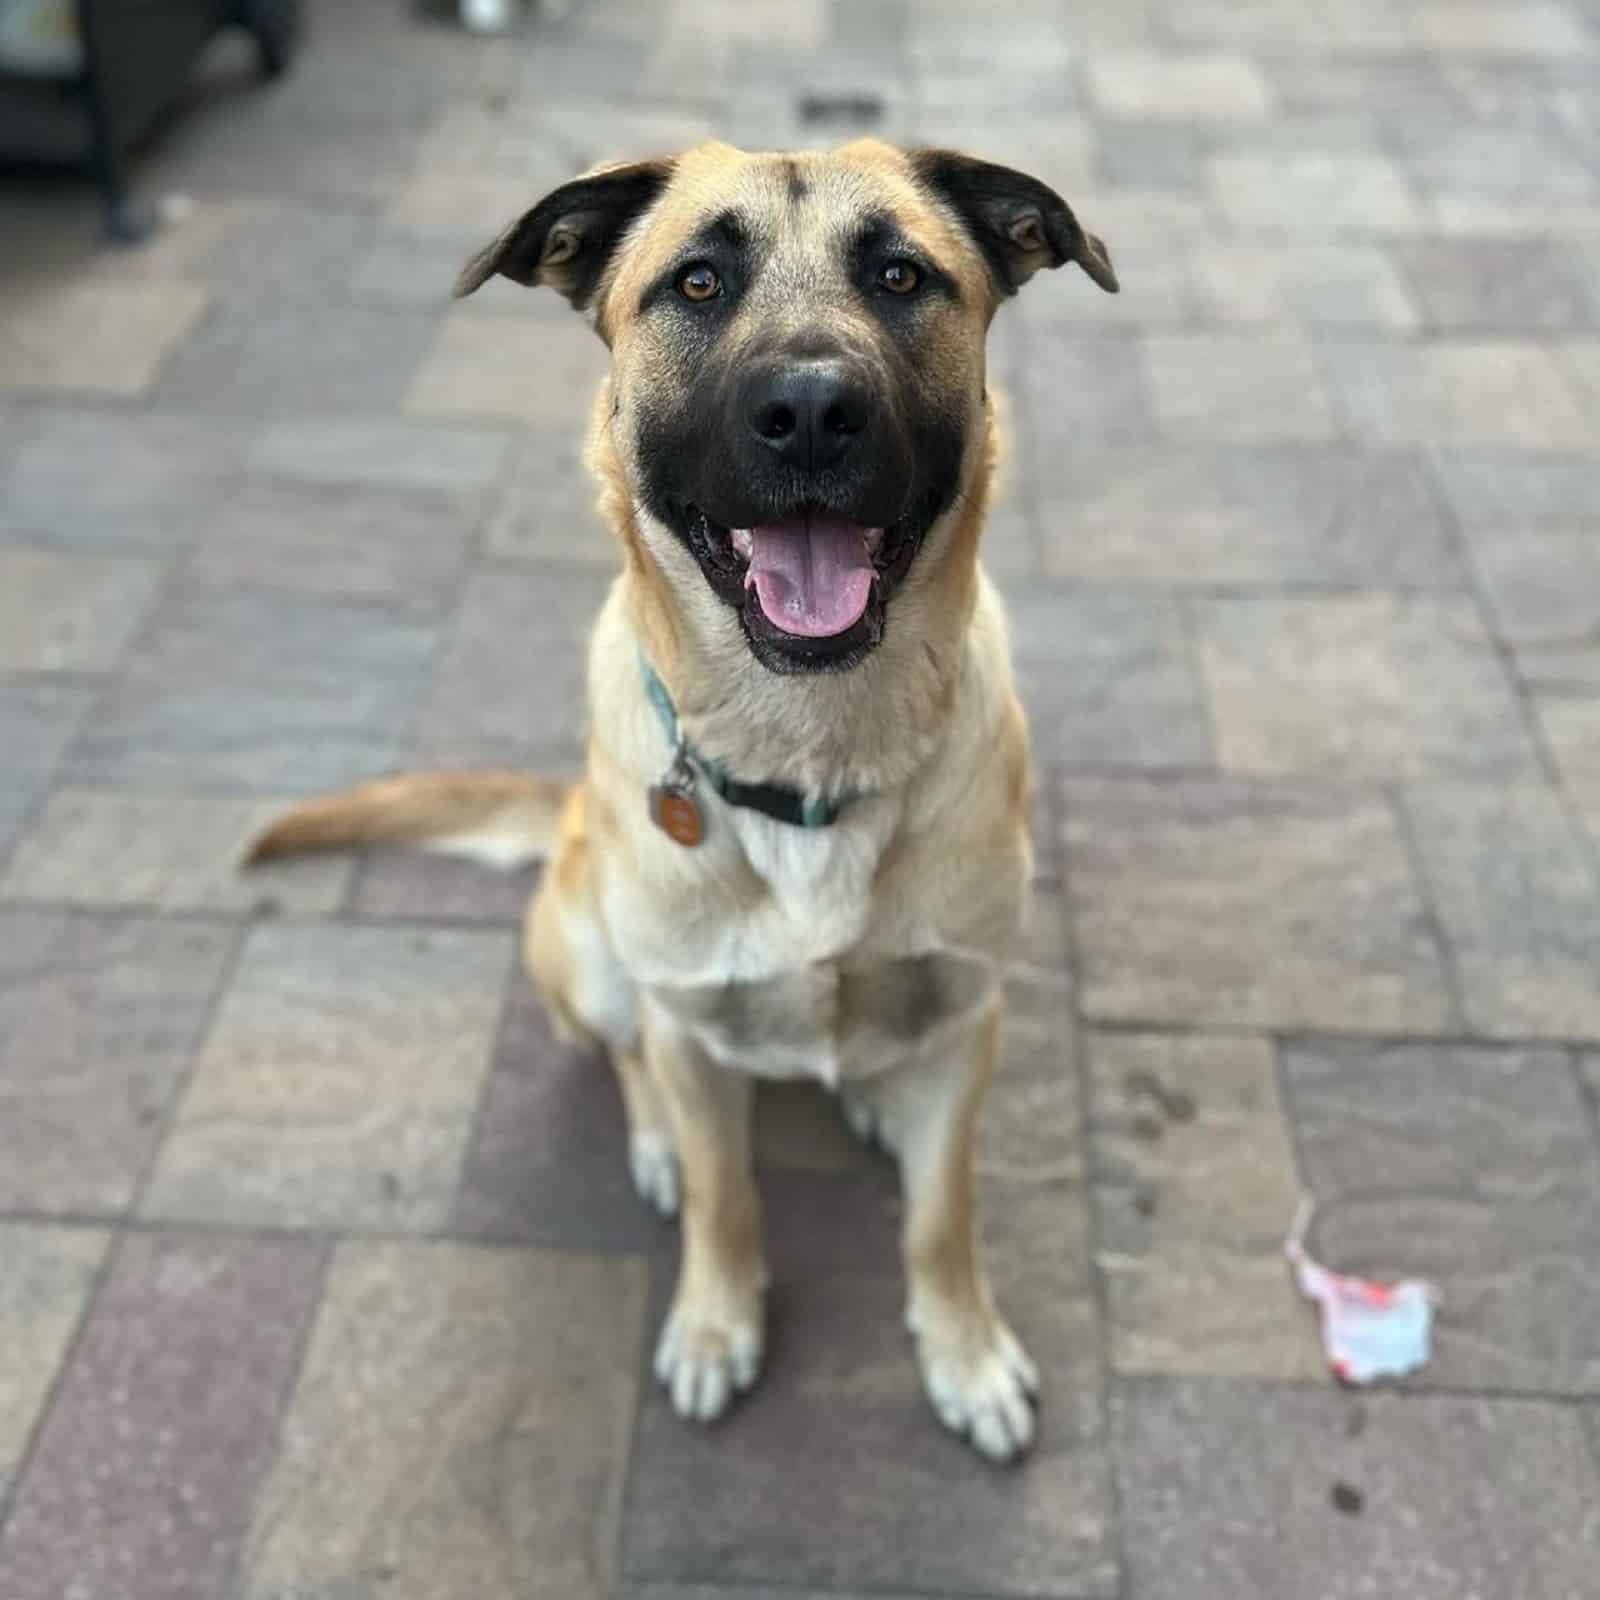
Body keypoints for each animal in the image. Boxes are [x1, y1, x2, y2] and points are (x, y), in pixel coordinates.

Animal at [246, 140, 1113, 1465]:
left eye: (901, 275)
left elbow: (939, 1215)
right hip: (600, 963)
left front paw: (963, 1353)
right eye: (697, 282)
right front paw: (716, 1324)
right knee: (628, 1057)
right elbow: (724, 1195)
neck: (810, 753)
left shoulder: (971, 1016)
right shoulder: (692, 1019)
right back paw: (656, 1136)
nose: (808, 411)